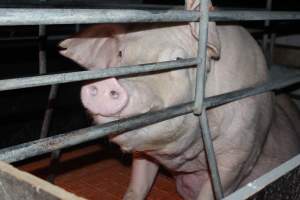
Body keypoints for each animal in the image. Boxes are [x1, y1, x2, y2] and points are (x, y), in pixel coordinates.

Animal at [58, 0, 300, 199]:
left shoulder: (241, 153)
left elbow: (213, 190)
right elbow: (139, 183)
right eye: (120, 54)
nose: (108, 82)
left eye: (177, 59)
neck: (187, 156)